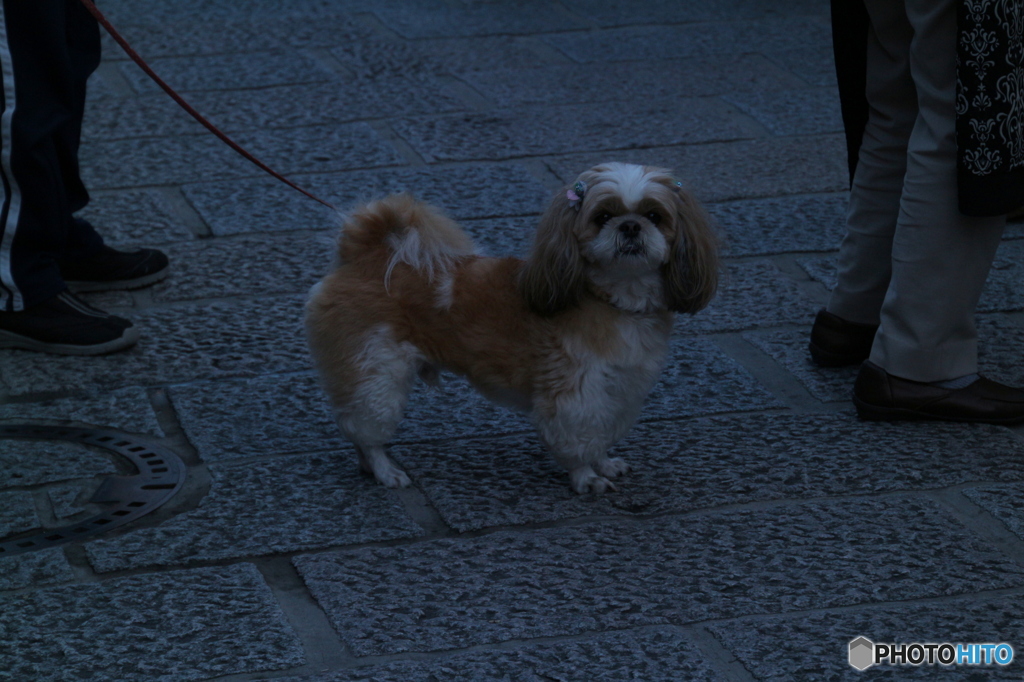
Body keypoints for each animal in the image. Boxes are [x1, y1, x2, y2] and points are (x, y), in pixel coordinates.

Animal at [307, 161, 716, 491]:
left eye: (654, 216)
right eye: (602, 217)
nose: (630, 226)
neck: (613, 299)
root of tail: (365, 255)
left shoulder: (619, 388)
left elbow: (601, 432)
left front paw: (603, 463)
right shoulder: (575, 392)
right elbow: (578, 437)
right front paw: (586, 477)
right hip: (375, 371)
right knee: (365, 429)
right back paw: (384, 469)